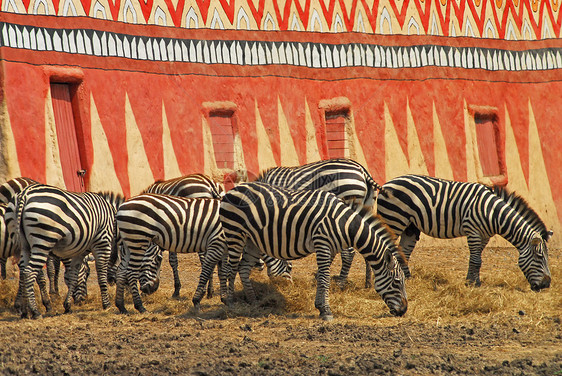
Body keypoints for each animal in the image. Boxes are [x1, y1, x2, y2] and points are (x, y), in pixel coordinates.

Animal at [6, 184, 122, 318]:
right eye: (88, 274)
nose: (83, 300)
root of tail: (25, 193)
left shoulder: (80, 251)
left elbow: (73, 274)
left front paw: (67, 305)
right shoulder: (102, 242)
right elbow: (101, 275)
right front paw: (107, 304)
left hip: (24, 244)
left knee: (23, 271)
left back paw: (25, 311)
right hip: (43, 240)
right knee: (29, 272)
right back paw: (35, 311)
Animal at [217, 182, 404, 320]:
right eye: (397, 282)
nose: (403, 311)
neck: (343, 223)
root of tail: (232, 190)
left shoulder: (330, 248)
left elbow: (322, 277)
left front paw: (320, 306)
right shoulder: (322, 243)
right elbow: (325, 278)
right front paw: (326, 311)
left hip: (252, 241)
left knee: (243, 268)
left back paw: (254, 301)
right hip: (235, 233)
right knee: (231, 268)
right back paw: (231, 302)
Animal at [255, 157, 384, 286]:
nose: (259, 266)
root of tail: (362, 170)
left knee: (349, 252)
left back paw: (340, 283)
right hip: (366, 206)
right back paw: (368, 282)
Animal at [374, 174, 548, 290]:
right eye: (540, 258)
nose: (547, 285)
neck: (493, 213)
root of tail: (388, 183)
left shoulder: (485, 236)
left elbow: (477, 259)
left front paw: (472, 281)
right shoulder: (473, 230)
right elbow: (476, 260)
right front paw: (473, 284)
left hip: (410, 226)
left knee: (403, 252)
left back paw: (408, 279)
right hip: (394, 220)